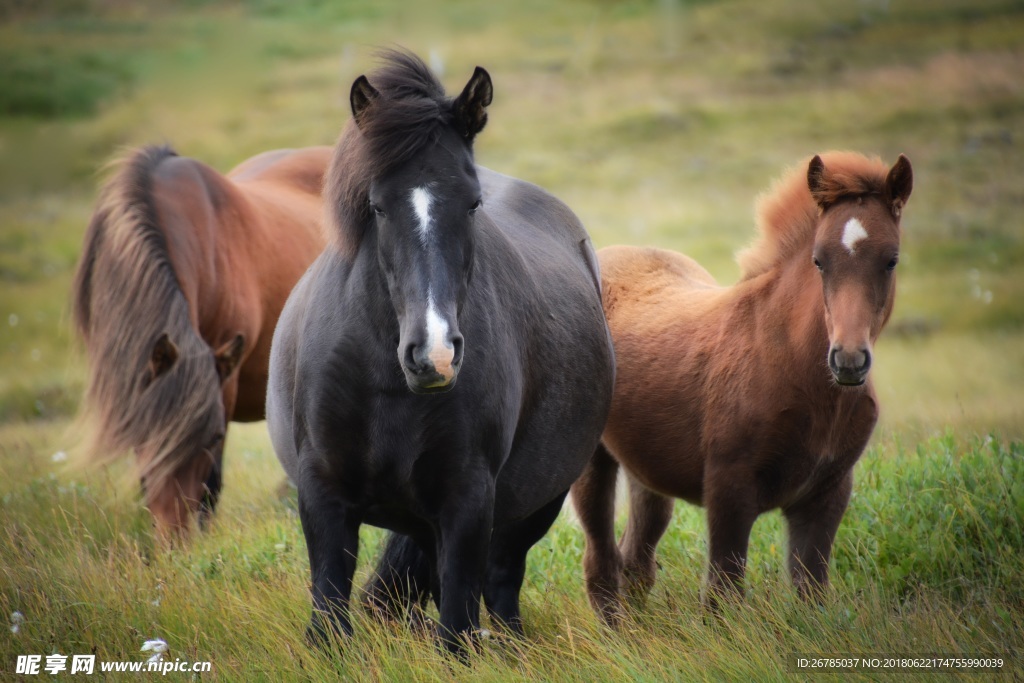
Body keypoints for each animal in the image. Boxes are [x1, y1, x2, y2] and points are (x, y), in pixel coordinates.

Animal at [266, 50, 614, 655]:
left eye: (472, 204)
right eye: (377, 207)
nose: (435, 355)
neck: (384, 381)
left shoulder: (468, 499)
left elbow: (456, 627)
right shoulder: (323, 494)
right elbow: (329, 616)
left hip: (536, 503)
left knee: (501, 583)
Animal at [573, 152, 917, 622]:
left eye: (891, 260)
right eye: (819, 260)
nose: (848, 361)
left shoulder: (827, 493)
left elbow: (811, 591)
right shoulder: (729, 488)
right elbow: (723, 593)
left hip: (647, 469)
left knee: (636, 558)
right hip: (591, 461)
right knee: (601, 562)